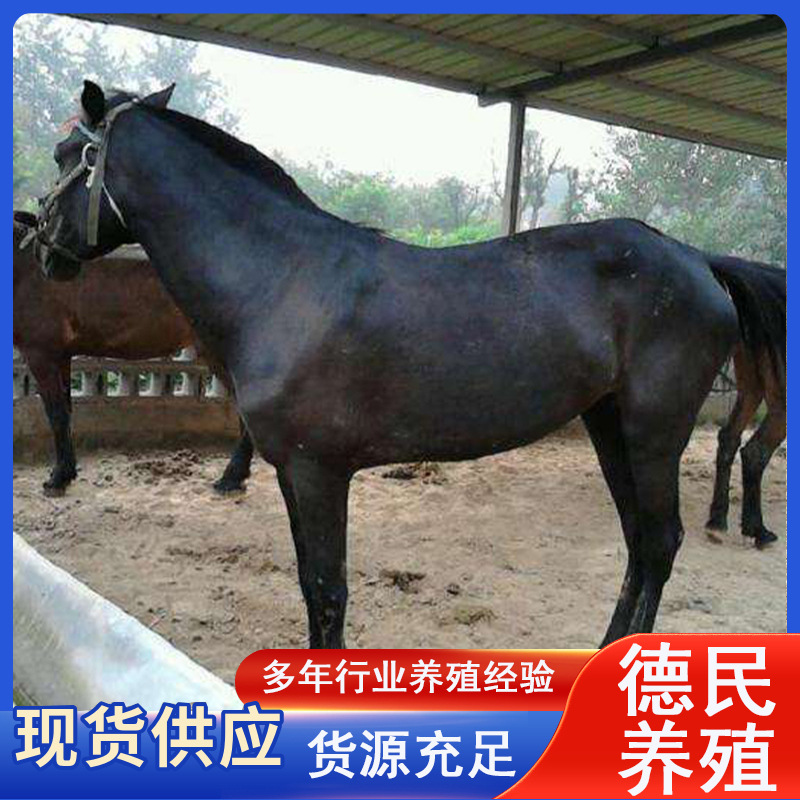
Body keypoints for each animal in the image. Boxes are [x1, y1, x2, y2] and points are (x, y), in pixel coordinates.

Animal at [13, 210, 254, 496]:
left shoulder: (42, 354)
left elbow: (56, 415)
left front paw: (58, 478)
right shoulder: (60, 356)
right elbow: (67, 412)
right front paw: (66, 472)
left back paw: (231, 477)